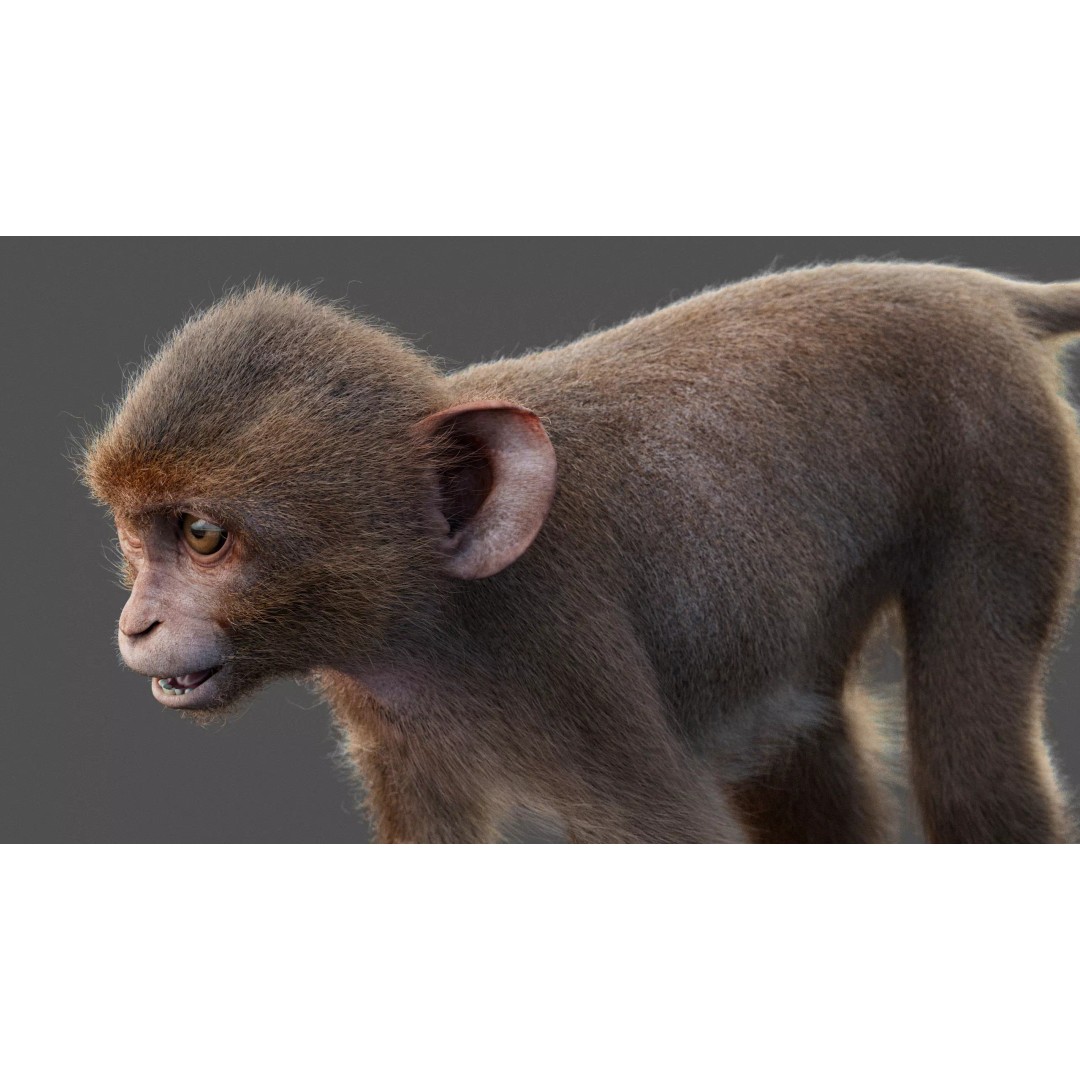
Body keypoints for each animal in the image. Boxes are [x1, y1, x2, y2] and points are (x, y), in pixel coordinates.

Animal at [80, 261, 1080, 843]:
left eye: (203, 537)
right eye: (136, 535)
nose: (138, 624)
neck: (442, 605)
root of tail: (975, 288)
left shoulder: (561, 661)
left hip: (1005, 457)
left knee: (973, 776)